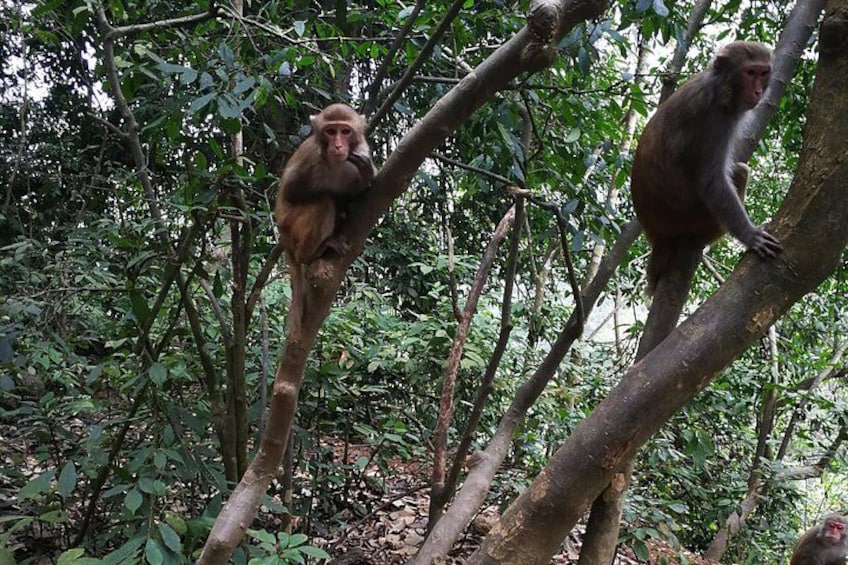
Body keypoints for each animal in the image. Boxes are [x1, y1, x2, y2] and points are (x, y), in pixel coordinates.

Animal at [275, 103, 376, 264]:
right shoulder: (310, 156)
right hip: (289, 224)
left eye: (346, 131)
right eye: (331, 132)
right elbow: (290, 192)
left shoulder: (362, 150)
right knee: (323, 201)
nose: (338, 146)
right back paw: (309, 253)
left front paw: (366, 175)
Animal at [630, 41, 782, 295]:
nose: (758, 92)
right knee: (740, 172)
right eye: (750, 73)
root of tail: (656, 233)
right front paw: (750, 235)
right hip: (697, 218)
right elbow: (712, 182)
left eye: (763, 73)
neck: (720, 86)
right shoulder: (715, 119)